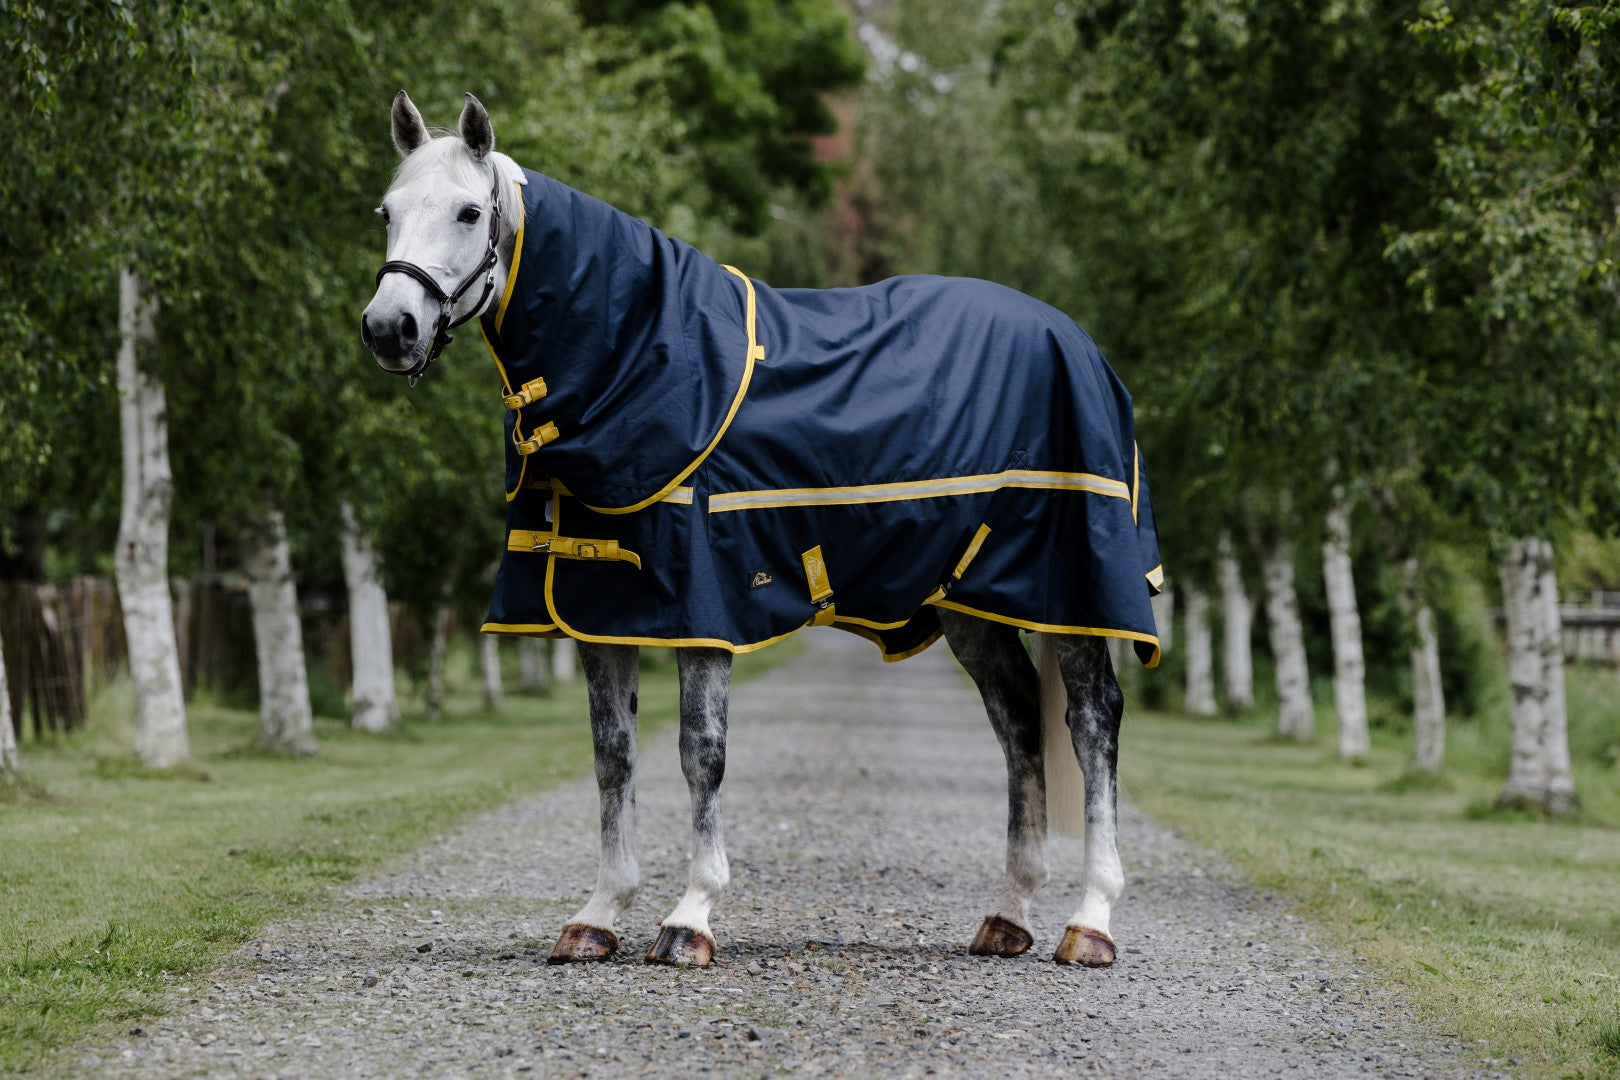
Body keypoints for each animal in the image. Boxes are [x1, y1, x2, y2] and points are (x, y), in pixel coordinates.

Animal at [361, 92, 1163, 969]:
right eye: (388, 212)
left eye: (470, 212)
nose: (389, 329)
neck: (636, 360)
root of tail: (1078, 343)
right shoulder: (602, 607)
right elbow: (614, 758)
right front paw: (598, 914)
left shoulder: (702, 610)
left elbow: (700, 754)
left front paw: (690, 917)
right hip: (969, 602)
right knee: (1018, 718)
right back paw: (1009, 913)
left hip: (1074, 595)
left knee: (1091, 724)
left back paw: (1090, 921)